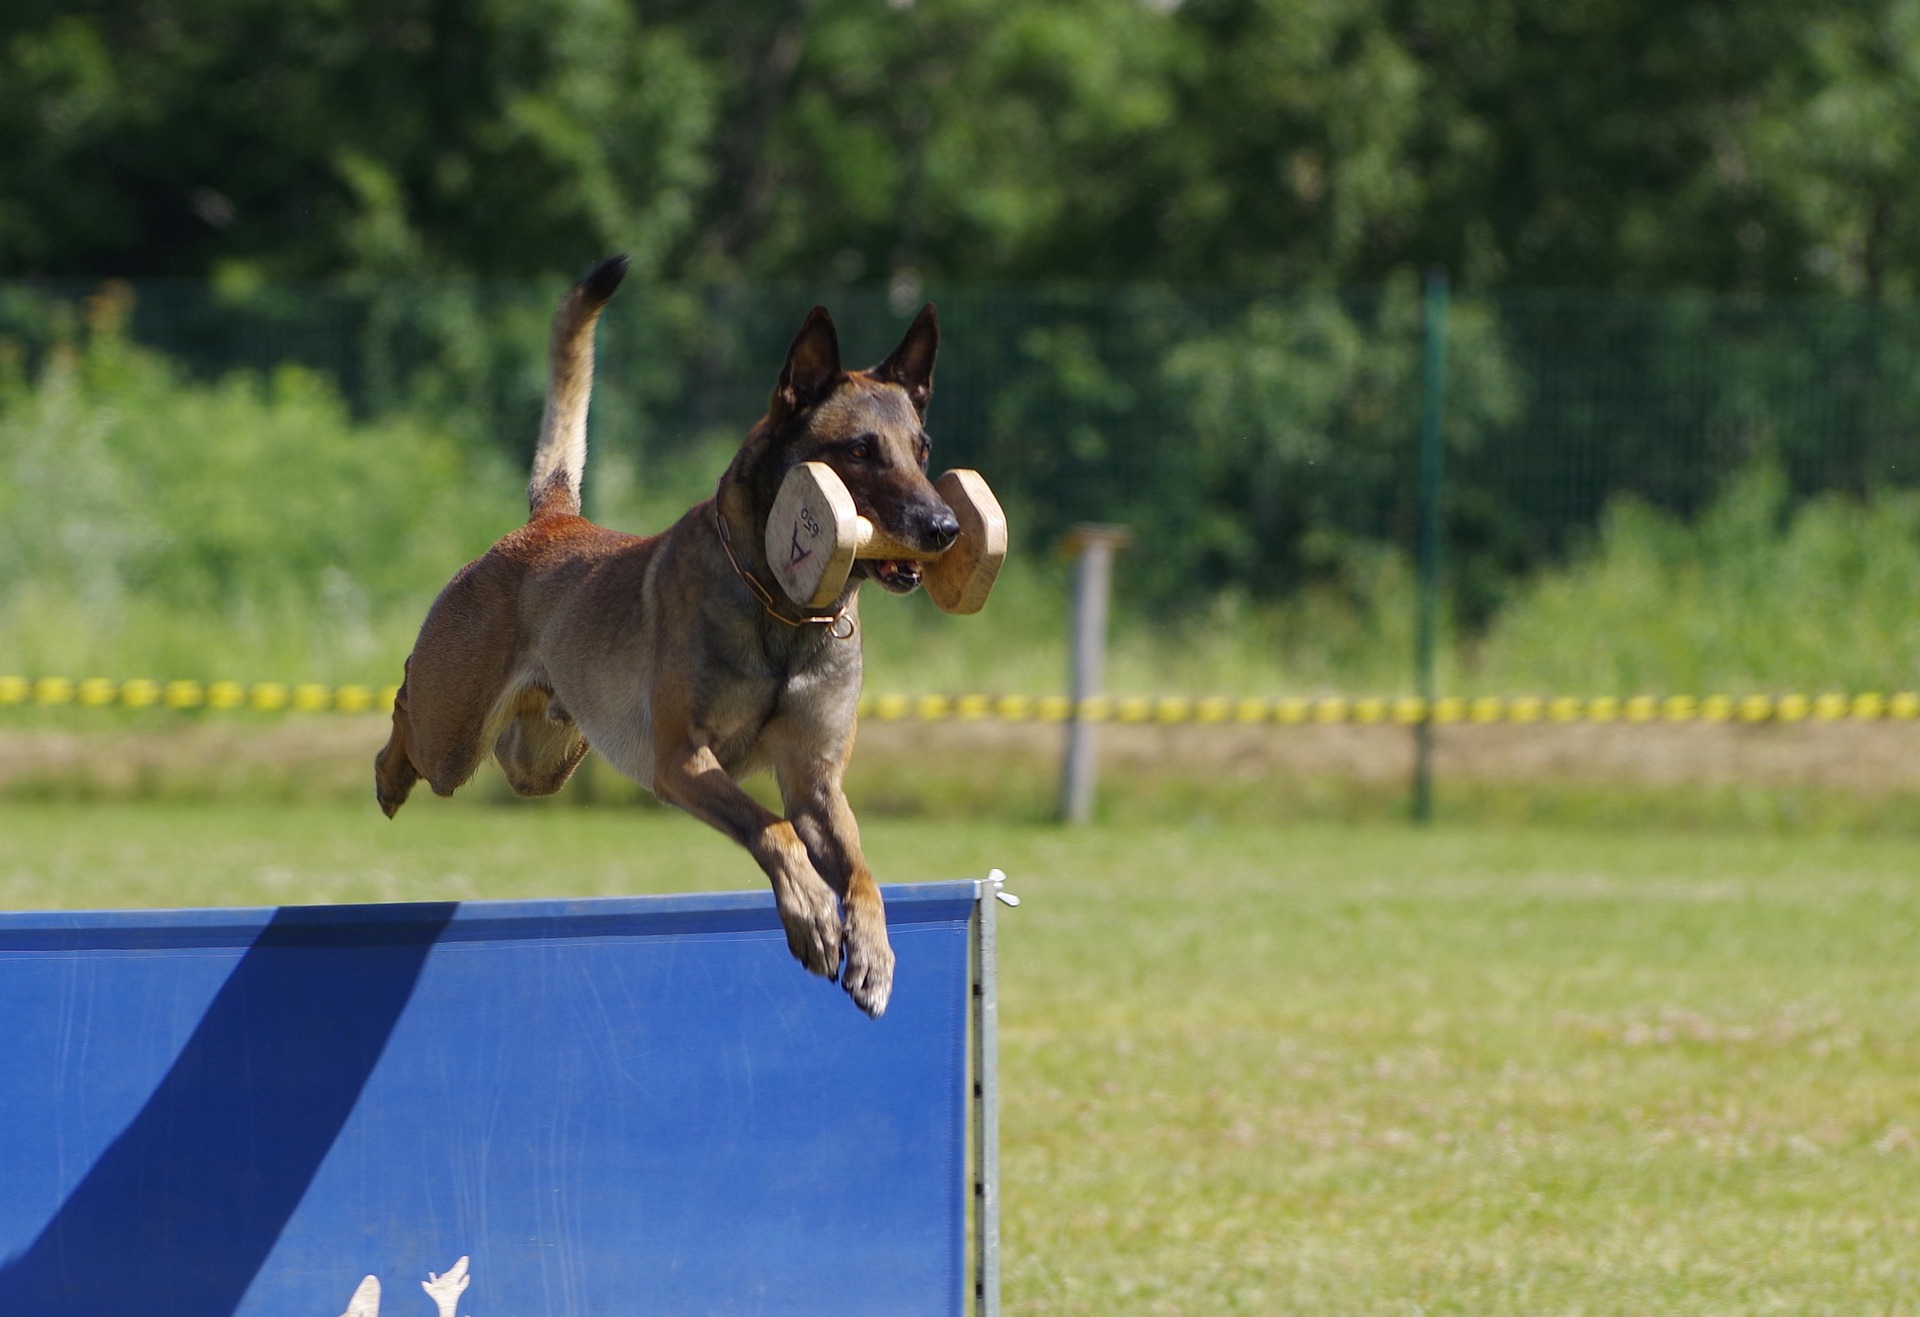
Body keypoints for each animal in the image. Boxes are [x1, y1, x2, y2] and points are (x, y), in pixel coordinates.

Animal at [374, 261, 960, 1021]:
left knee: (510, 748)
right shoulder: (682, 761)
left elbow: (859, 871)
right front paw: (811, 915)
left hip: (545, 757)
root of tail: (552, 520)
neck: (781, 611)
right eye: (861, 451)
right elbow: (771, 829)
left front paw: (873, 955)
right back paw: (389, 773)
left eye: (922, 452)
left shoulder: (815, 782)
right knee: (409, 710)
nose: (945, 527)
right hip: (453, 734)